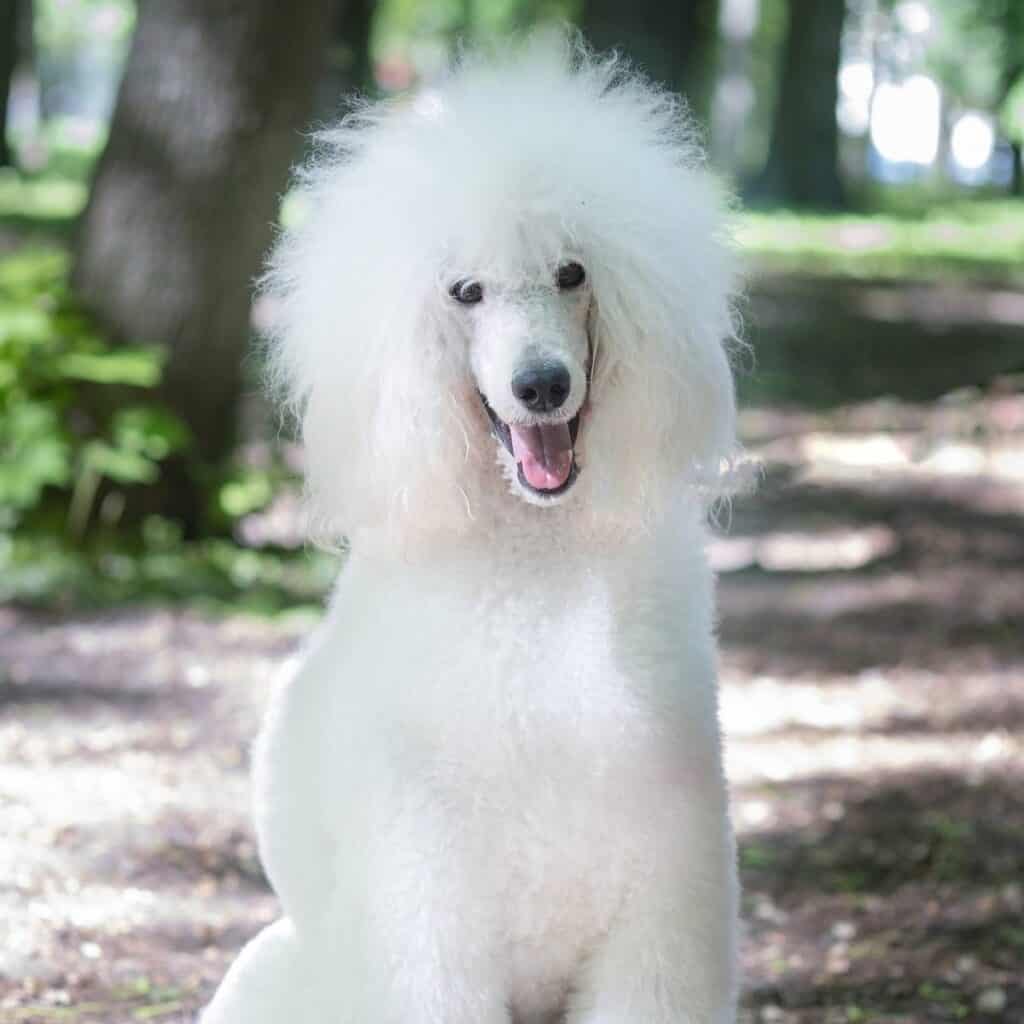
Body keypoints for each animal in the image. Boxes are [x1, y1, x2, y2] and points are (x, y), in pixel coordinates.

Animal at [201, 32, 745, 1024]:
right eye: (466, 291)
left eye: (573, 273)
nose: (541, 386)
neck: (535, 558)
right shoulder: (429, 922)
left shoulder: (661, 918)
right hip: (274, 973)